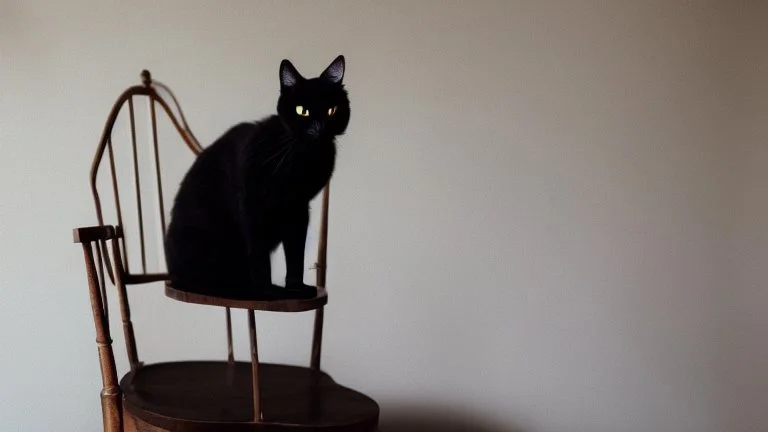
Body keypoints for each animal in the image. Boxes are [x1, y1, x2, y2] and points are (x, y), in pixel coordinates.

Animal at [166, 55, 352, 300]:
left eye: (332, 110)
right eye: (302, 111)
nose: (319, 129)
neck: (303, 158)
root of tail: (172, 277)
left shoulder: (298, 209)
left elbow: (296, 254)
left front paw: (296, 288)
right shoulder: (253, 205)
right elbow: (260, 255)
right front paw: (267, 291)